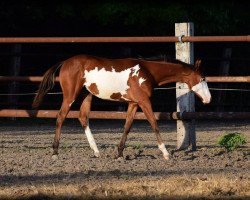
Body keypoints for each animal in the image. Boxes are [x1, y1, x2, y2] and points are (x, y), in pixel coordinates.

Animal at [31, 54, 211, 160]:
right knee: (61, 117)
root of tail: (65, 62)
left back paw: (96, 151)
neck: (147, 72)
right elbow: (154, 123)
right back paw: (55, 152)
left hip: (86, 95)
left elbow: (127, 126)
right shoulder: (144, 101)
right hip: (70, 95)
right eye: (202, 78)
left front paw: (119, 153)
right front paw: (166, 153)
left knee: (83, 117)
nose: (208, 99)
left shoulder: (133, 103)